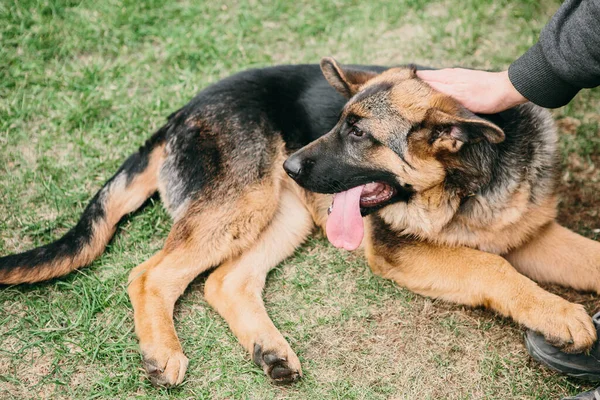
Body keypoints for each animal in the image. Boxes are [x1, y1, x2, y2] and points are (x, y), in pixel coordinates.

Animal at [1, 57, 600, 386]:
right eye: (339, 123)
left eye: (359, 134)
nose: (290, 162)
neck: (471, 181)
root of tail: (183, 110)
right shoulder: (398, 249)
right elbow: (489, 267)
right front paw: (563, 315)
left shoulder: (533, 235)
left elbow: (584, 256)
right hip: (244, 203)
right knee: (151, 274)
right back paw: (163, 352)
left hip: (283, 216)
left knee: (225, 281)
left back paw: (269, 351)